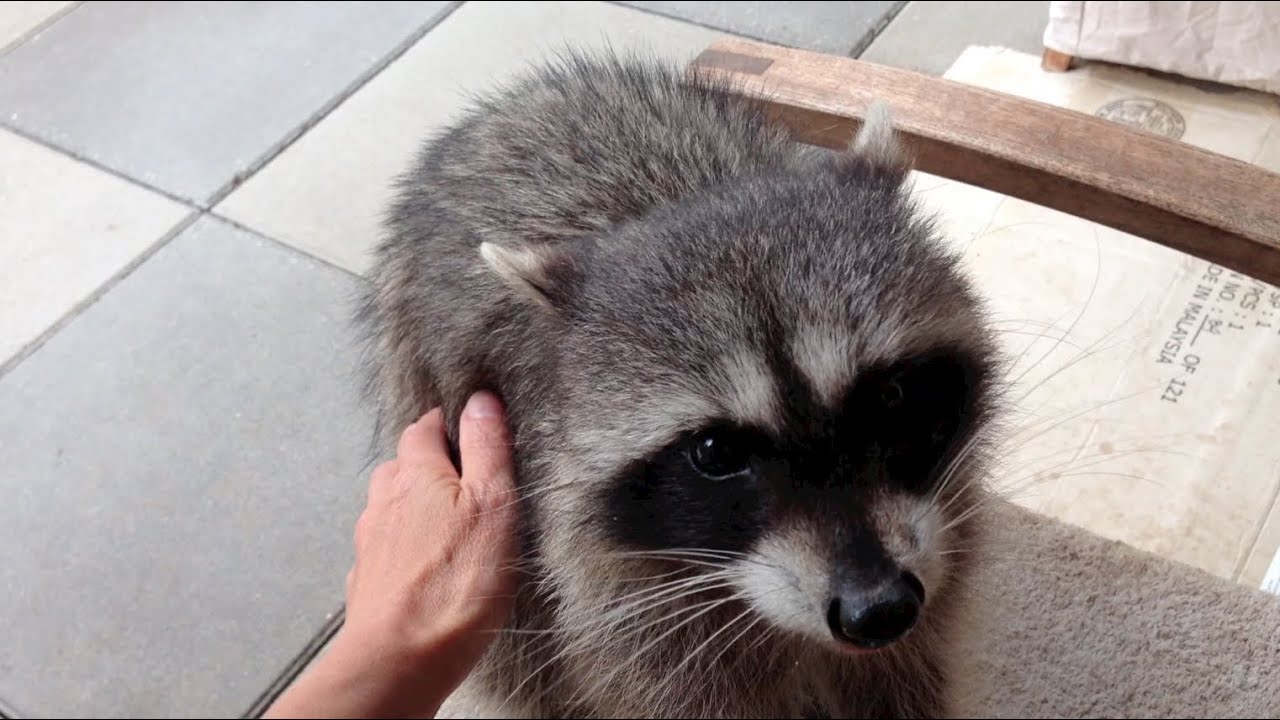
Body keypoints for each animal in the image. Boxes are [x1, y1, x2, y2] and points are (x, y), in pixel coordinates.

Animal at [355, 47, 1004, 719]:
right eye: (715, 453)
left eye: (890, 398)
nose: (878, 610)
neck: (676, 202)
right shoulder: (615, 584)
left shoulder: (945, 523)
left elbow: (904, 674)